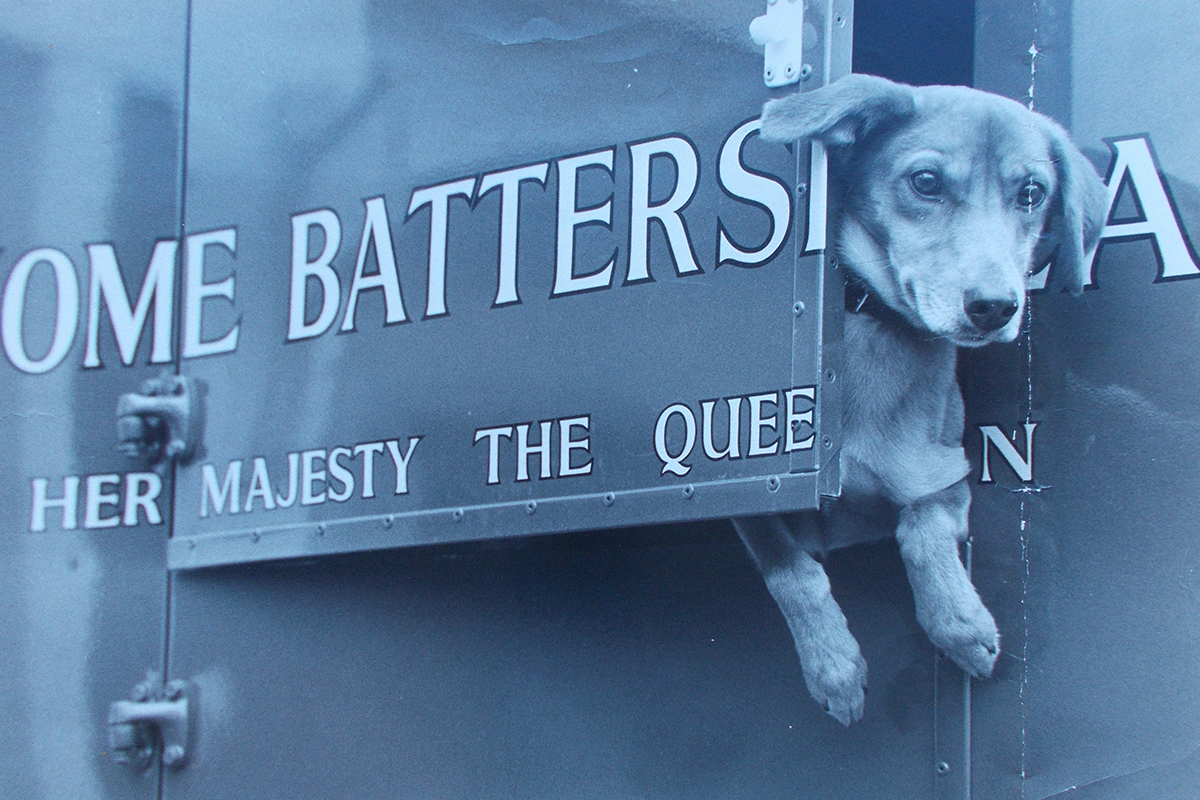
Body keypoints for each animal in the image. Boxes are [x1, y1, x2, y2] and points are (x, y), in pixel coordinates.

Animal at [734, 74, 1108, 724]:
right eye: (926, 181)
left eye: (1032, 193)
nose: (994, 306)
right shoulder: (752, 496)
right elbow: (790, 570)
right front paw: (832, 665)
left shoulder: (947, 471)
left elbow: (921, 530)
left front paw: (961, 623)